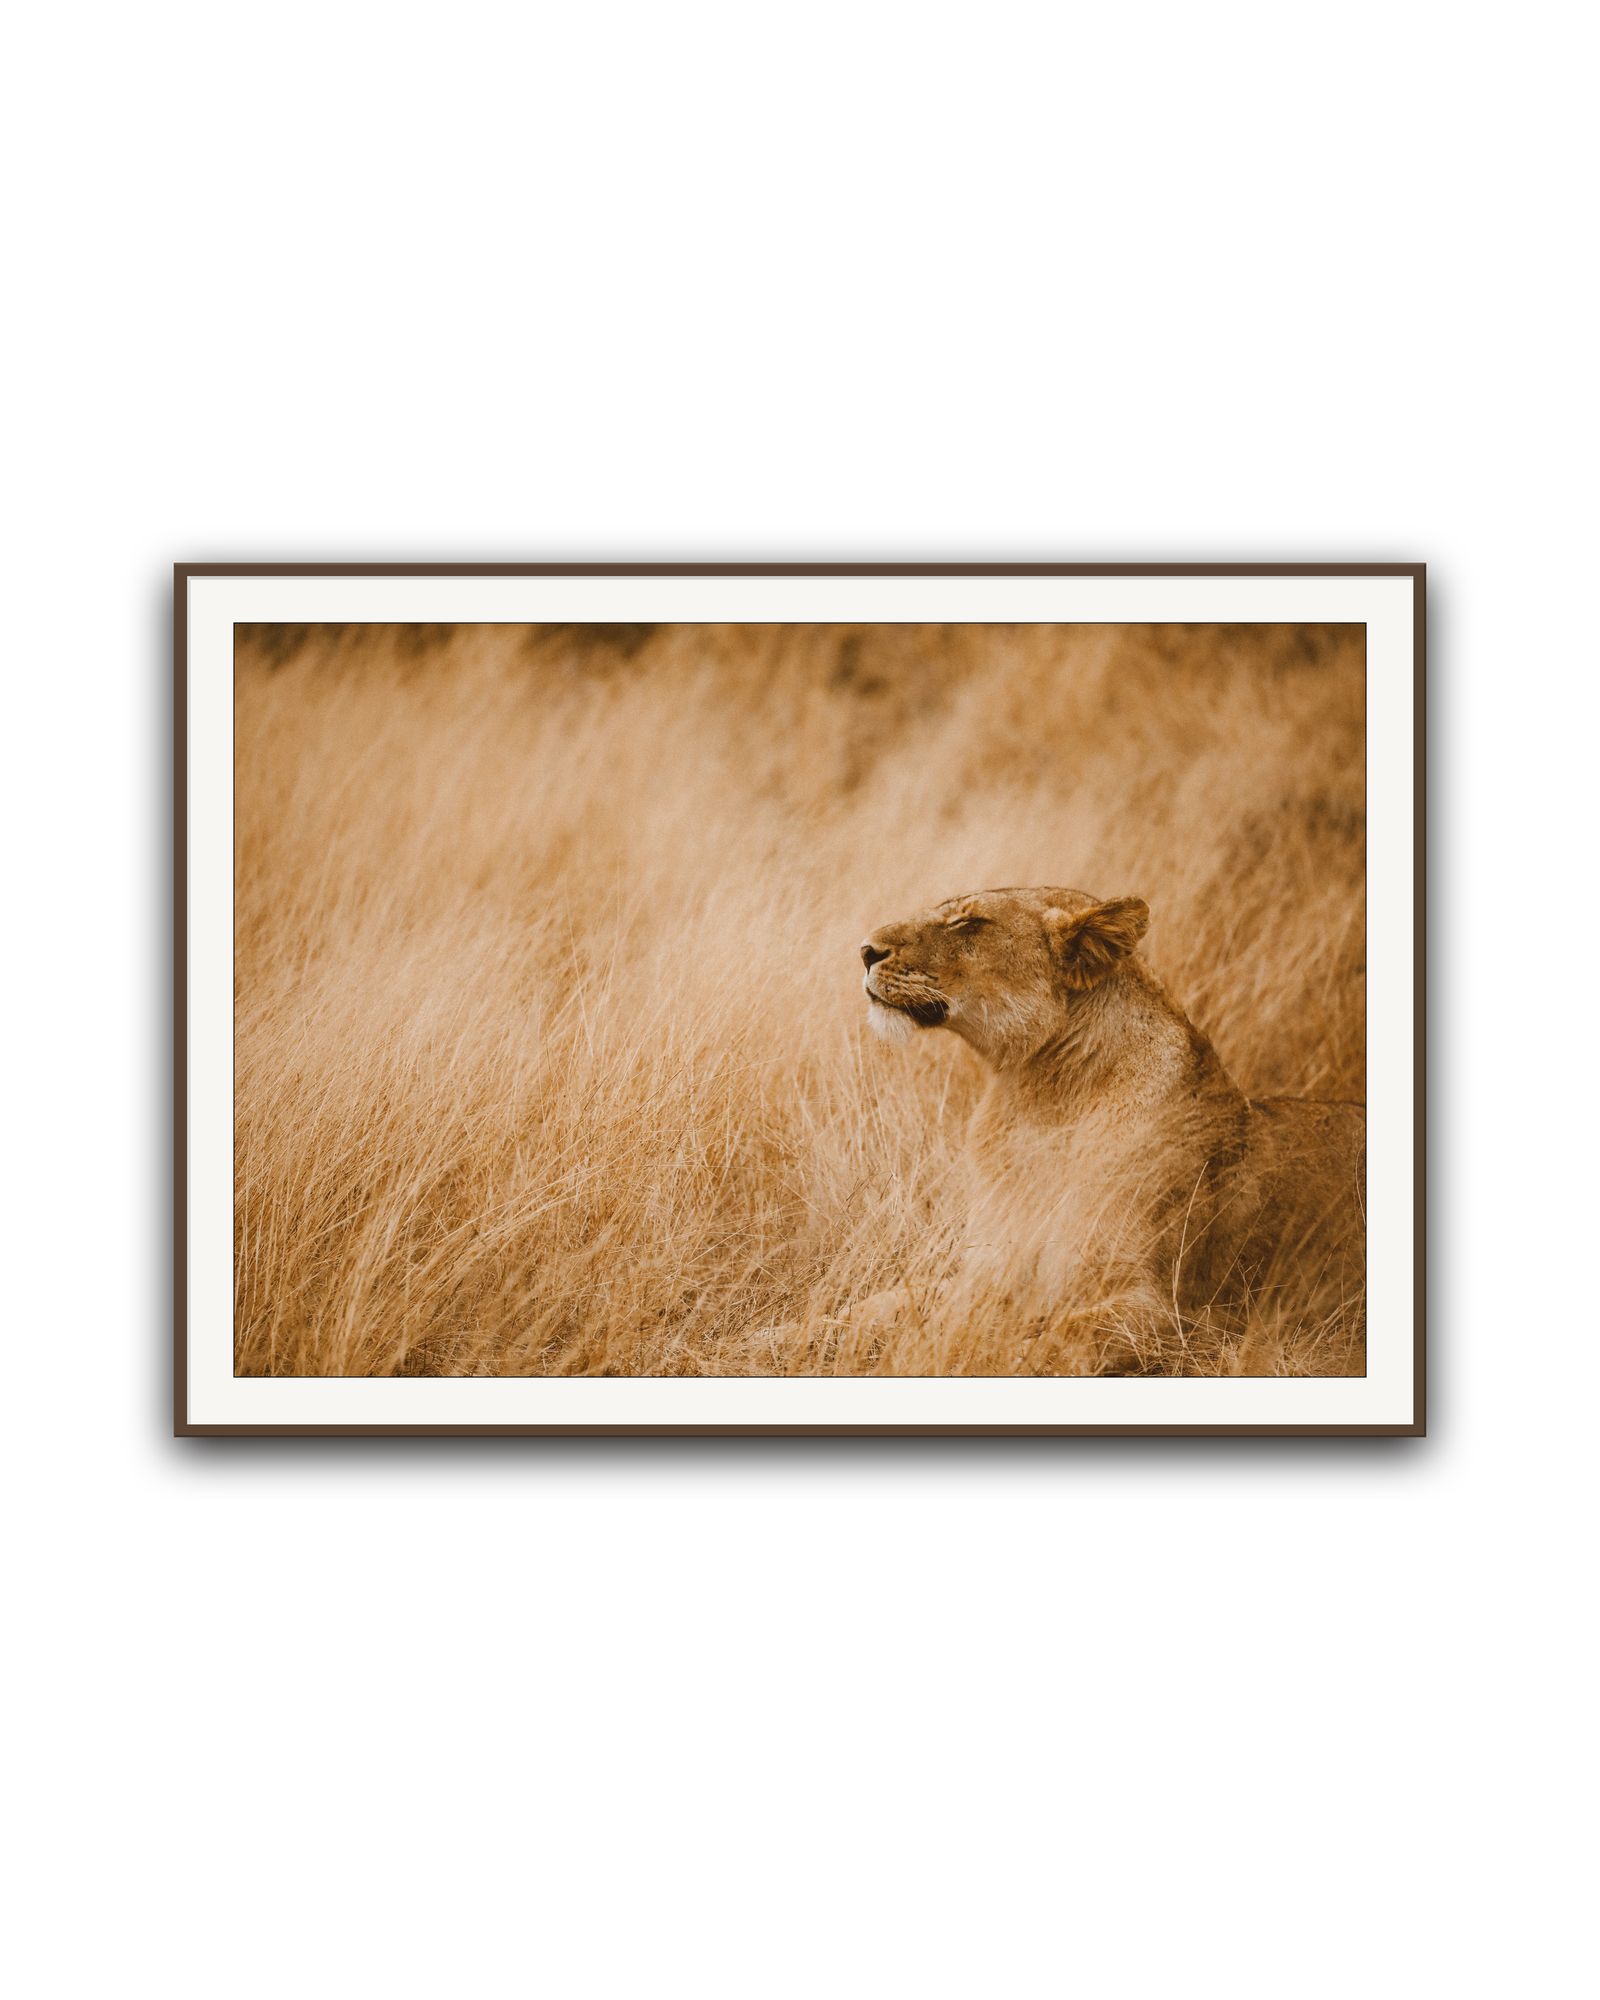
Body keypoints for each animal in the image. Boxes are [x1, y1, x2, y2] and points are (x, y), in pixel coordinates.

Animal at [853, 886, 1365, 1356]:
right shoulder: (991, 1270)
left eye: (969, 924)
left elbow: (1055, 1343)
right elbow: (884, 1303)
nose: (865, 951)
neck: (1040, 1100)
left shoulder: (1173, 1312)